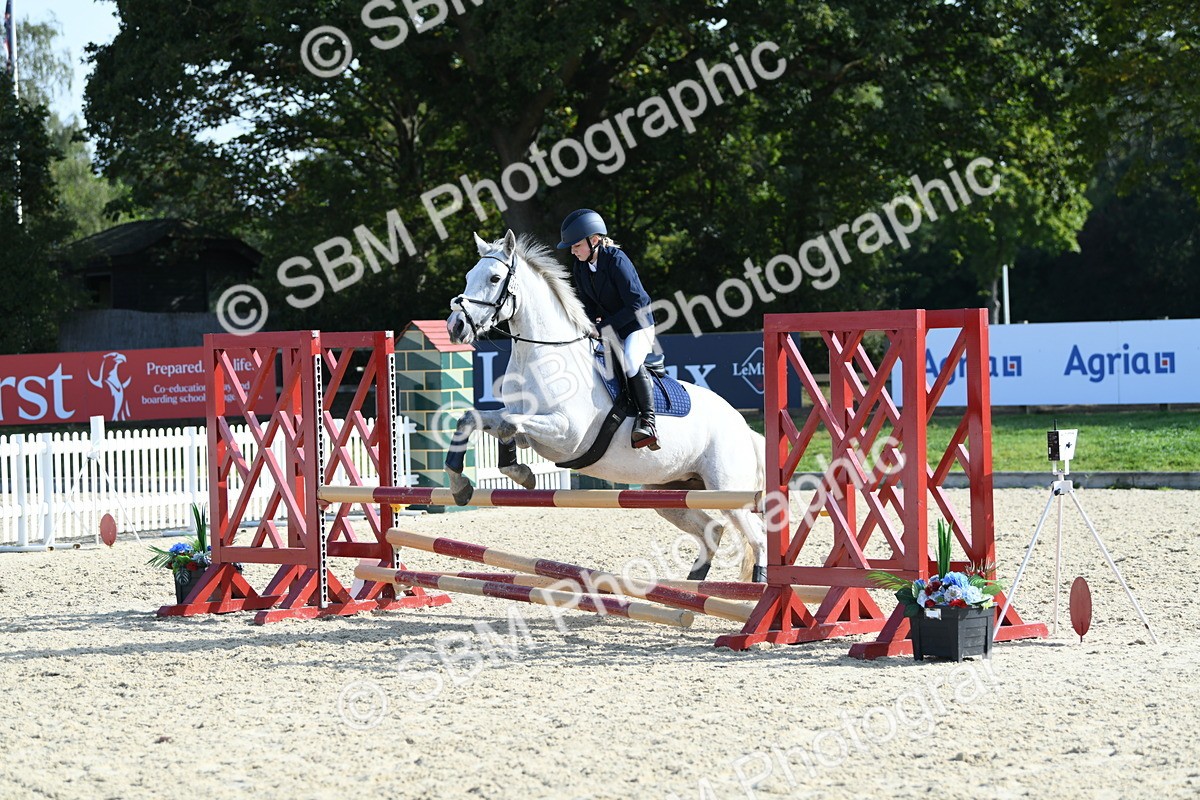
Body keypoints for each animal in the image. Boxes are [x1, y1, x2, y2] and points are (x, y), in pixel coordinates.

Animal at [444, 230, 768, 582]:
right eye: (467, 277)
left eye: (494, 278)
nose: (455, 326)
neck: (544, 355)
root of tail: (743, 426)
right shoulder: (525, 425)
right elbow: (479, 420)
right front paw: (465, 483)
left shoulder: (567, 434)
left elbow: (509, 424)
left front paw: (519, 473)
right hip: (665, 490)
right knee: (712, 529)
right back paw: (693, 586)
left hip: (727, 490)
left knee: (757, 535)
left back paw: (758, 584)